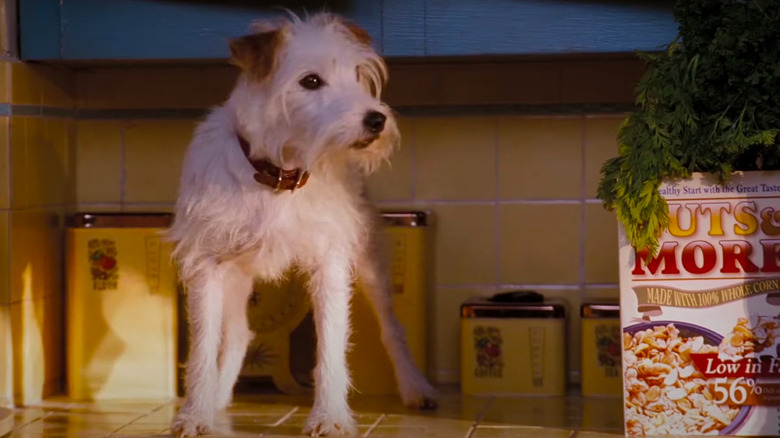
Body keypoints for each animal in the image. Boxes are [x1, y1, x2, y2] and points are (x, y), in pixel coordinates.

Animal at [169, 12, 438, 436]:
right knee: (239, 334)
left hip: (370, 266)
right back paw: (217, 399)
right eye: (310, 81)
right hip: (235, 278)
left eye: (356, 76)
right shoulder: (207, 265)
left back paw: (415, 387)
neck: (275, 176)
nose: (376, 119)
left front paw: (329, 416)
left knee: (392, 329)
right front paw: (195, 414)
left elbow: (330, 346)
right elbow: (203, 348)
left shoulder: (330, 264)